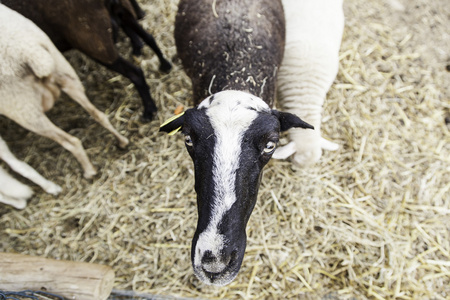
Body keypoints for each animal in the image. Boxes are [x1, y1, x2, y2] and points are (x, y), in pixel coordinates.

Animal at [0, 4, 130, 188]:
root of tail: (32, 54)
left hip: (24, 110)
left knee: (71, 142)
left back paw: (89, 172)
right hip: (66, 74)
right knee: (99, 115)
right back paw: (122, 141)